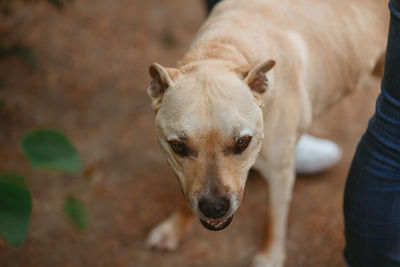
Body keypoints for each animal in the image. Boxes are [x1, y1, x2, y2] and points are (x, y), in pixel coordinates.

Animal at [146, 1, 388, 266]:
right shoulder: (183, 174)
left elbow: (273, 219)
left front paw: (269, 257)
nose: (214, 208)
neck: (222, 51)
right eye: (179, 147)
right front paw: (174, 229)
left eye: (242, 142)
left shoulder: (280, 173)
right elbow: (184, 196)